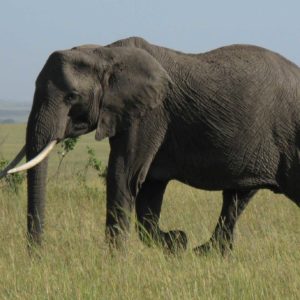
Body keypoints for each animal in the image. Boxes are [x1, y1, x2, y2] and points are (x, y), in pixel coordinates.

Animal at [1, 35, 298, 253]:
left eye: (72, 96)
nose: (37, 256)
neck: (105, 53)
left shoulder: (150, 114)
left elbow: (124, 175)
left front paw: (114, 262)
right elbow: (149, 189)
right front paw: (176, 242)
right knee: (236, 197)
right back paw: (207, 252)